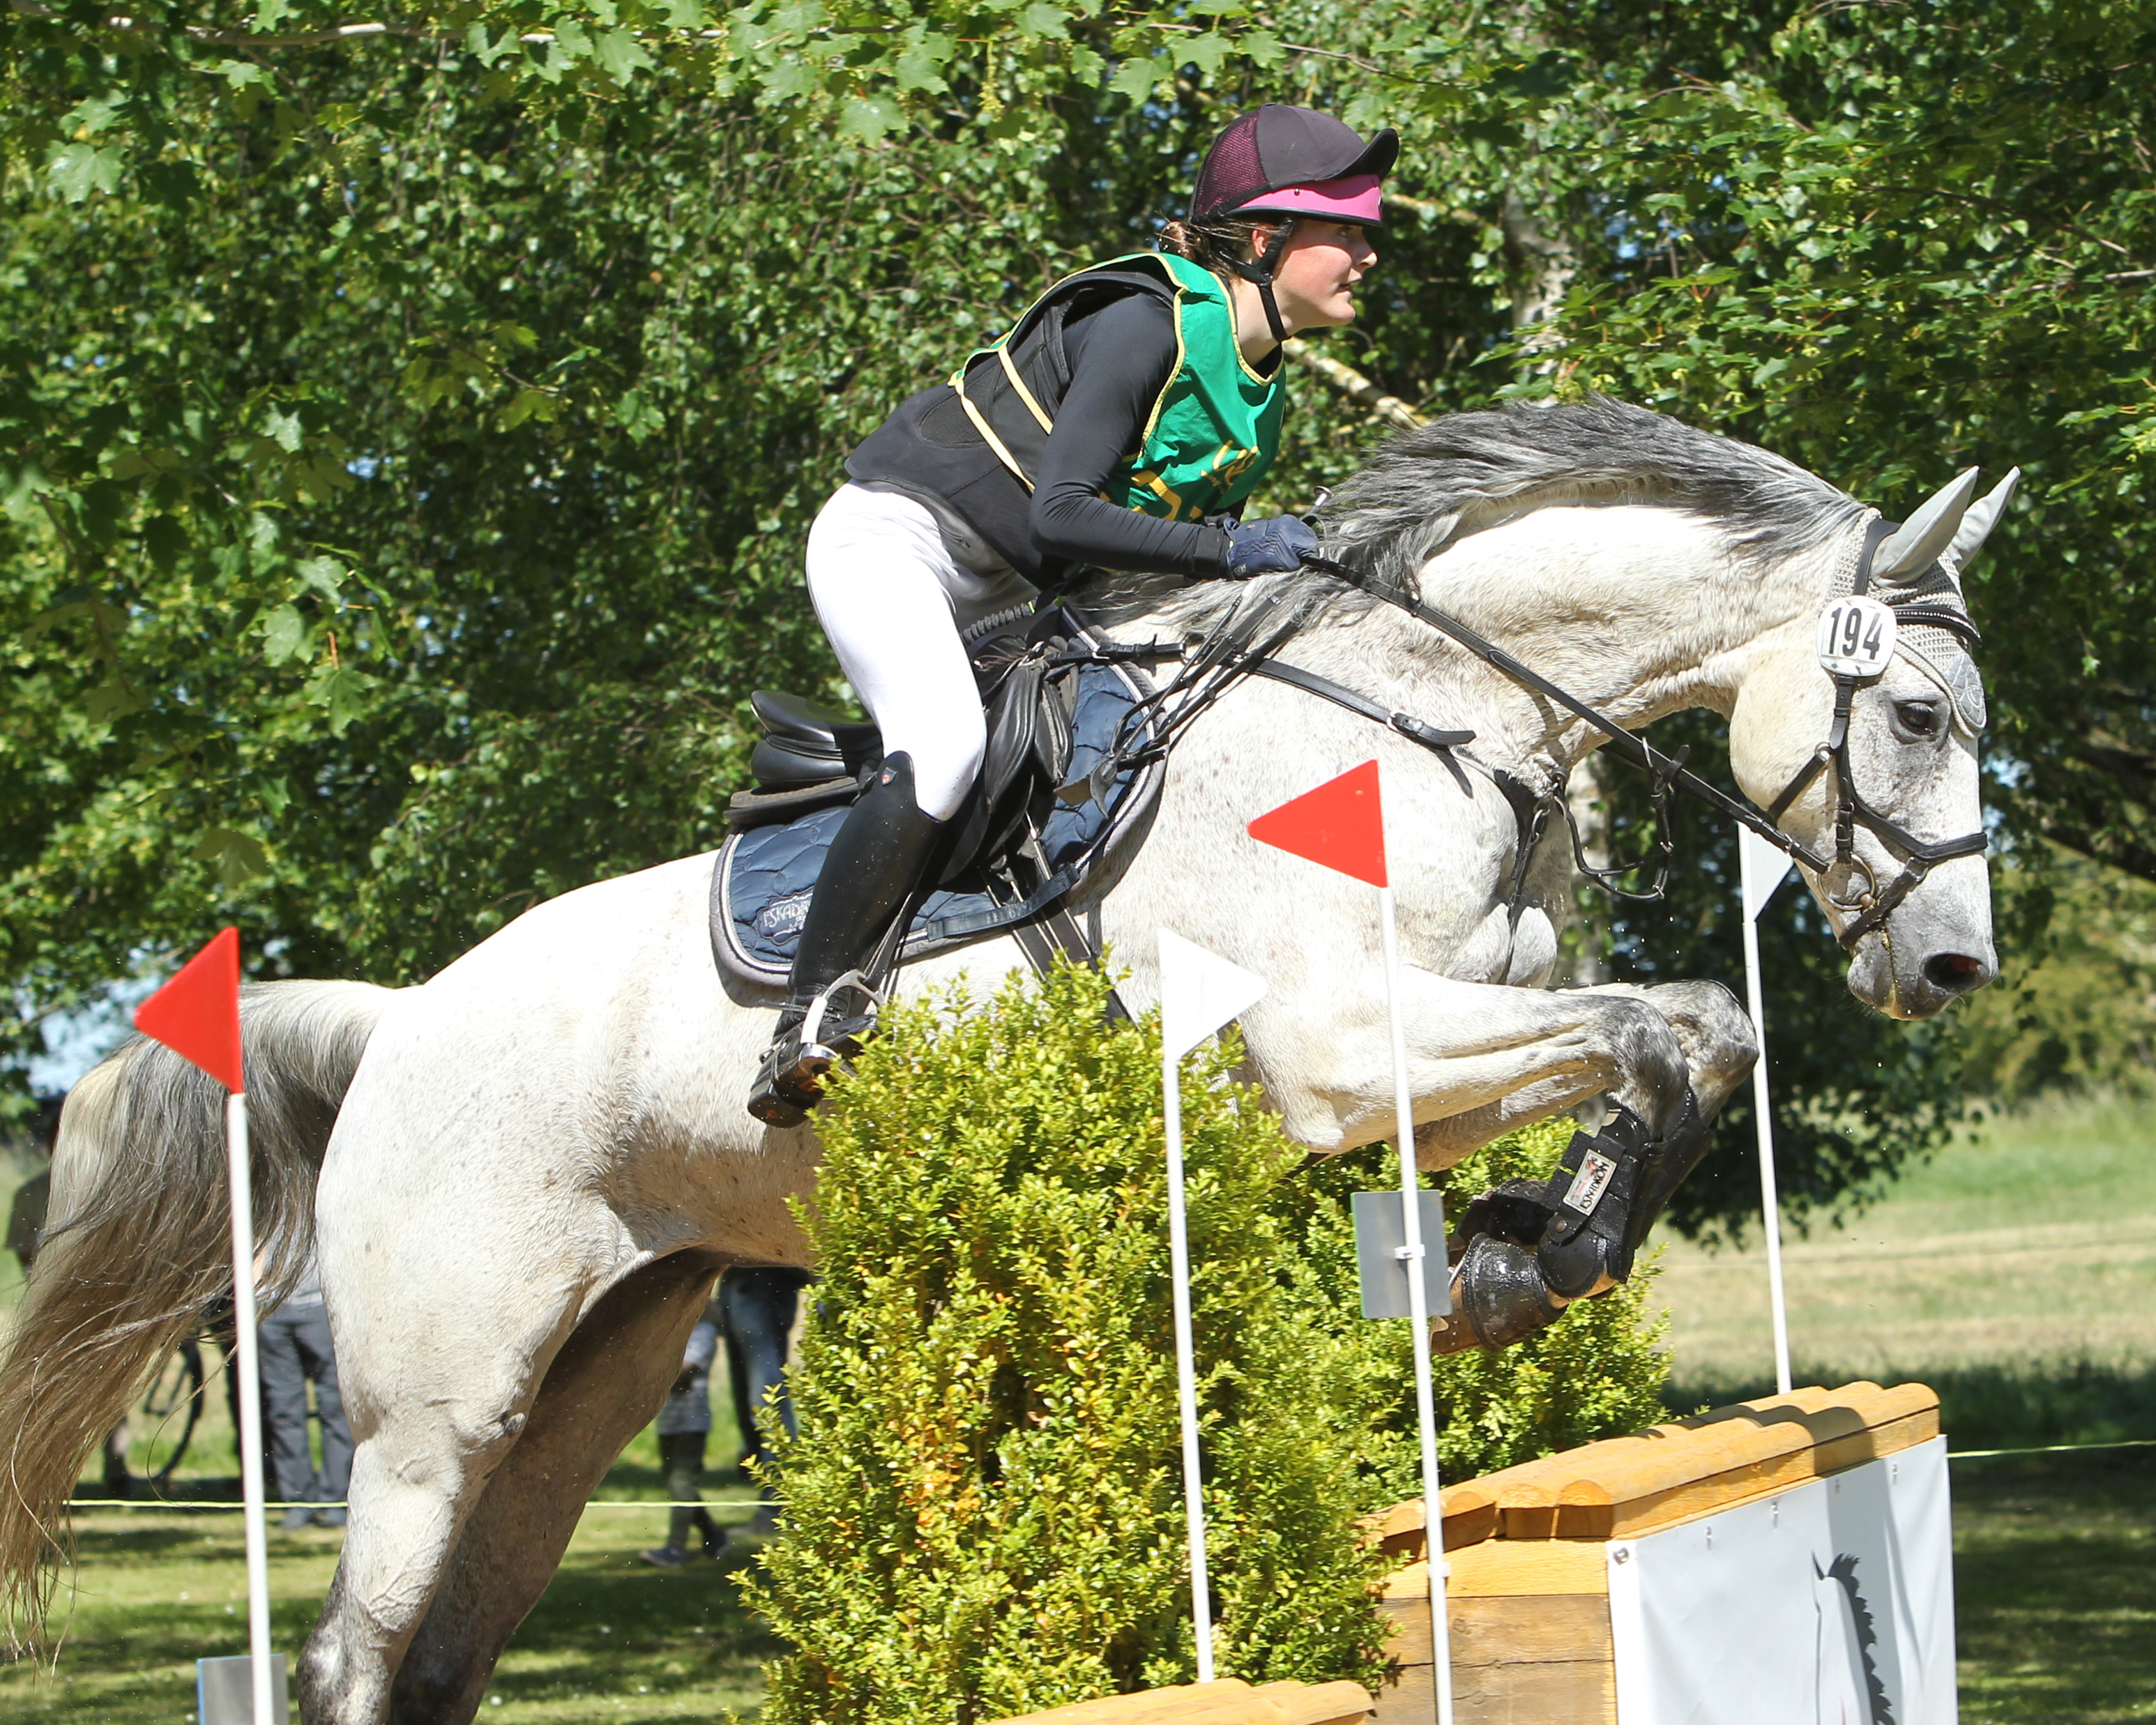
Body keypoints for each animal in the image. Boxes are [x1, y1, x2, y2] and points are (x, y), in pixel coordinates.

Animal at [0, 397, 2001, 1716]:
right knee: (352, 1659)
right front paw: (1530, 1261)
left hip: (591, 1375)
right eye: (1913, 714)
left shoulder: (1429, 1047)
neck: (1421, 709)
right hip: (436, 1405)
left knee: (438, 1657)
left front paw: (1521, 1250)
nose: (1950, 963)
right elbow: (1664, 1025)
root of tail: (402, 1014)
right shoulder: (1336, 1055)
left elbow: (1681, 1037)